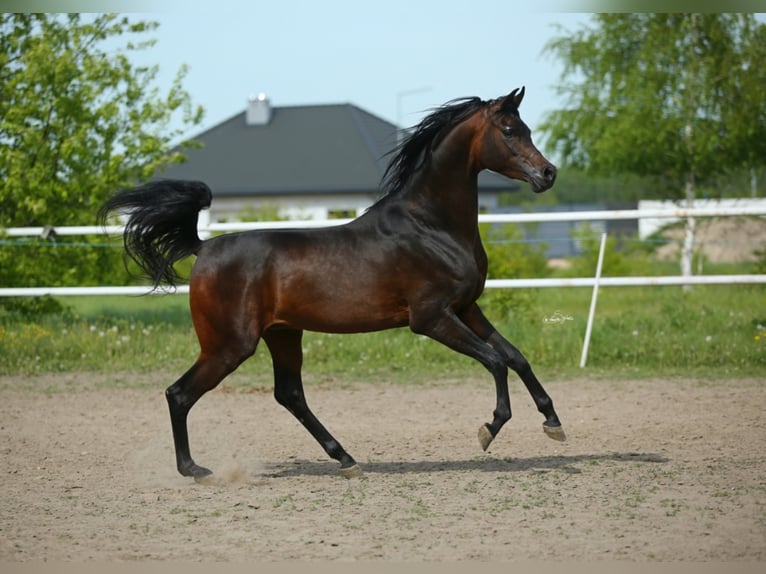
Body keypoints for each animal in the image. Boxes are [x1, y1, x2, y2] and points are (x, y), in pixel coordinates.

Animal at [100, 86, 564, 482]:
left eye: (527, 128)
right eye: (509, 130)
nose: (548, 173)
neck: (431, 226)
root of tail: (203, 248)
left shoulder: (467, 307)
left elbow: (516, 357)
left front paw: (553, 423)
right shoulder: (431, 318)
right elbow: (496, 361)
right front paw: (489, 428)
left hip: (283, 334)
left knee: (289, 394)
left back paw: (346, 459)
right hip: (229, 345)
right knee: (179, 393)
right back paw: (194, 470)